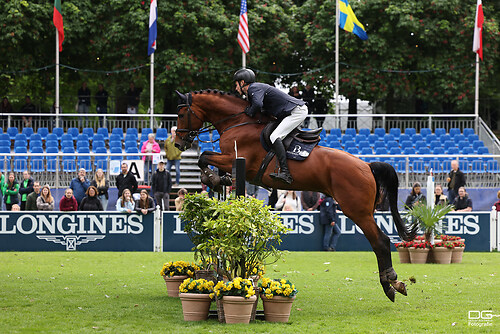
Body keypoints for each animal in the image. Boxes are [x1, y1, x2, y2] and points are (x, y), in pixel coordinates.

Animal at [174, 89, 416, 302]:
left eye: (181, 114)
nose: (178, 143)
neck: (238, 122)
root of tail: (366, 166)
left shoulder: (234, 159)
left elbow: (204, 156)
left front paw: (212, 178)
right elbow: (206, 158)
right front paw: (216, 180)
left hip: (357, 211)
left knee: (381, 242)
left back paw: (391, 284)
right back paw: (393, 284)